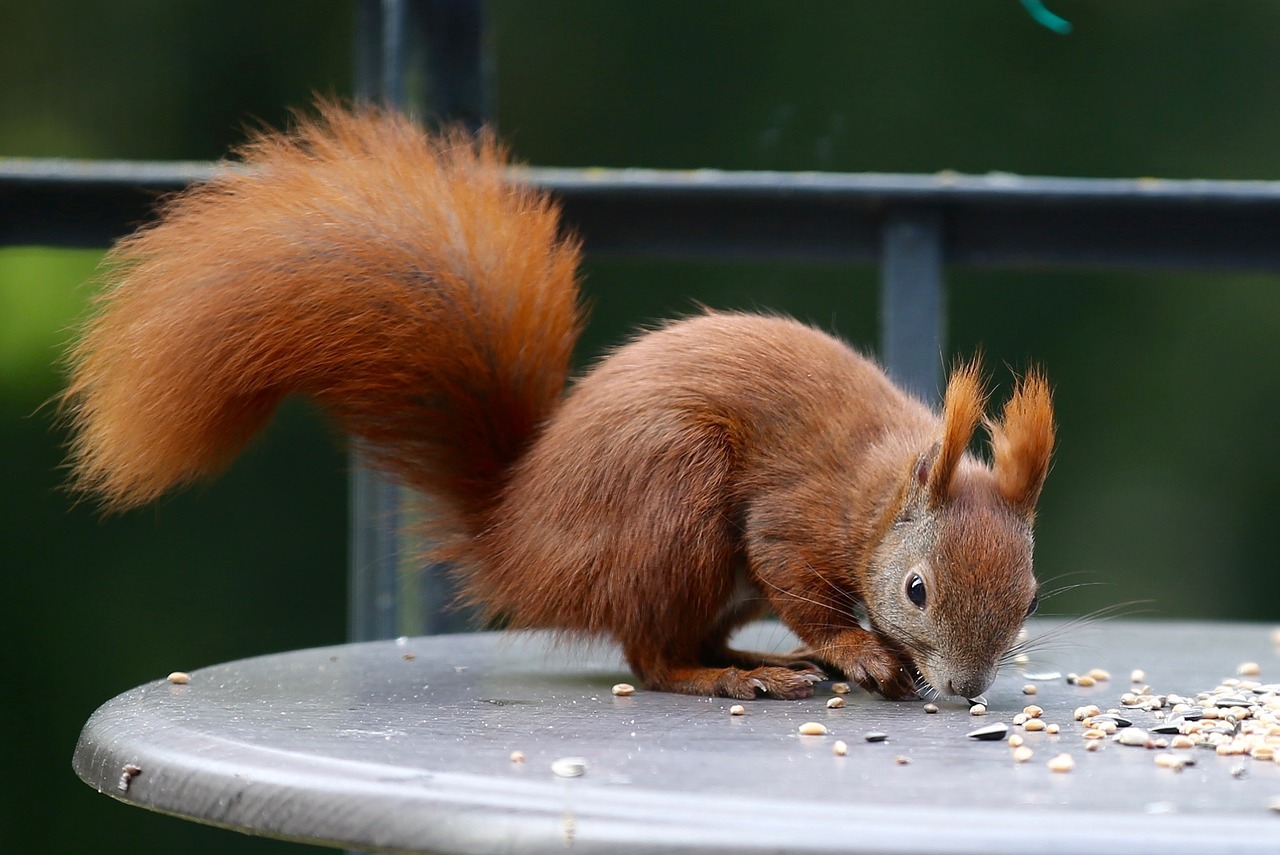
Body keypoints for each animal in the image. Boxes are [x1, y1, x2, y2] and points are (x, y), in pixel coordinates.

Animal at [60, 101, 1054, 701]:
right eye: (917, 589)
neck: (877, 491)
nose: (967, 688)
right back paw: (748, 677)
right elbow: (799, 582)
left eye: (1032, 591)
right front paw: (858, 648)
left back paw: (754, 658)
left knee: (678, 638)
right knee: (654, 657)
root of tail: (518, 543)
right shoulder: (796, 515)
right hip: (671, 504)